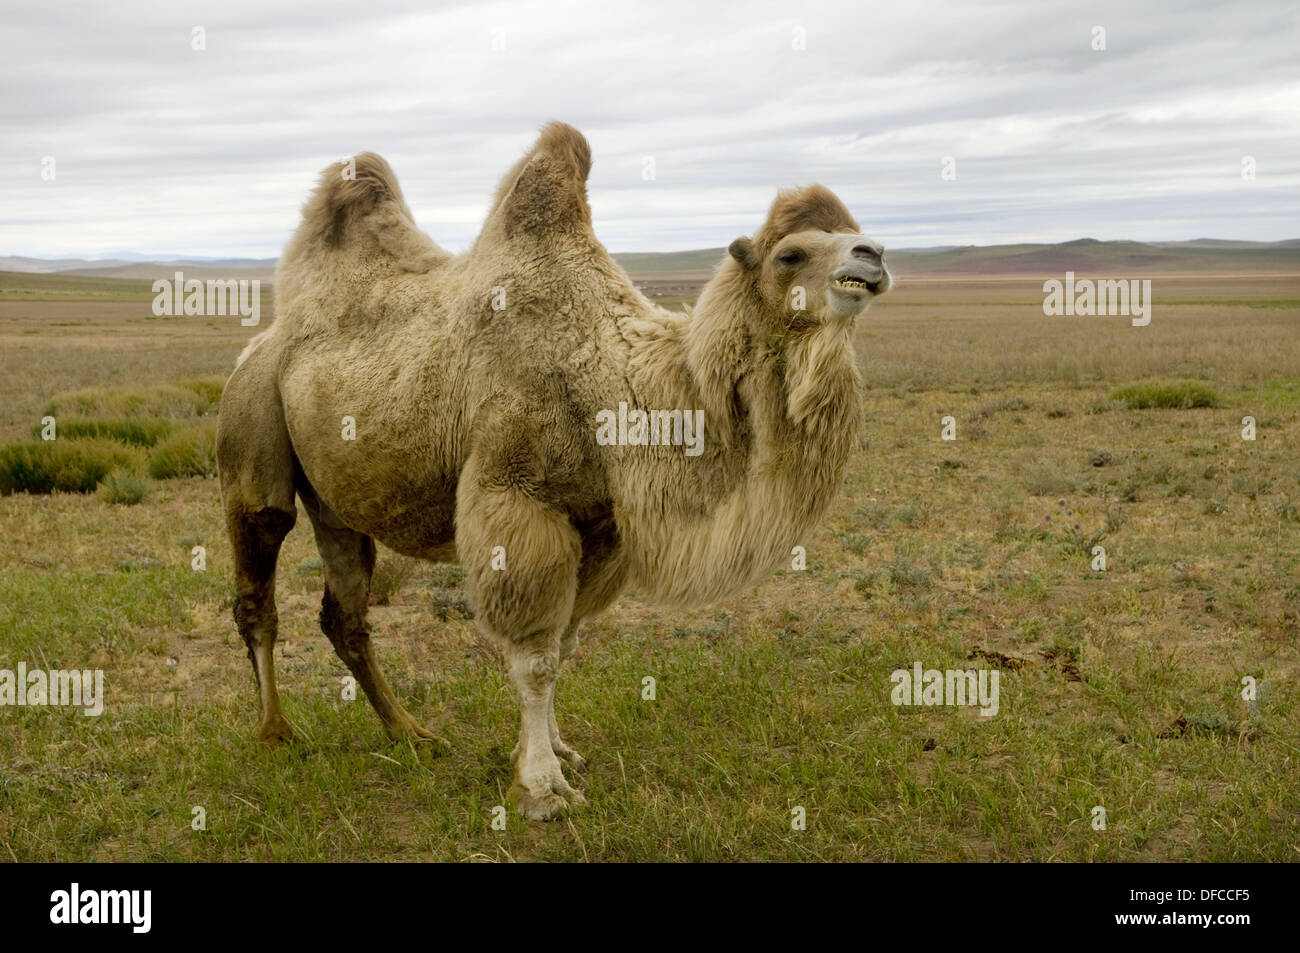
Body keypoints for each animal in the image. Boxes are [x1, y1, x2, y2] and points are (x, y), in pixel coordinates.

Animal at [220, 120, 894, 816]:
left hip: (338, 498)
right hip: (253, 422)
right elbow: (534, 656)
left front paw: (553, 751)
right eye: (790, 254)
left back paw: (409, 732)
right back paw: (276, 733)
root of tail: (265, 339)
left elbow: (564, 646)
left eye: (852, 233)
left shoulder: (600, 524)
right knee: (259, 576)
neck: (616, 382)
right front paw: (542, 787)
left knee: (345, 612)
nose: (873, 255)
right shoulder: (517, 497)